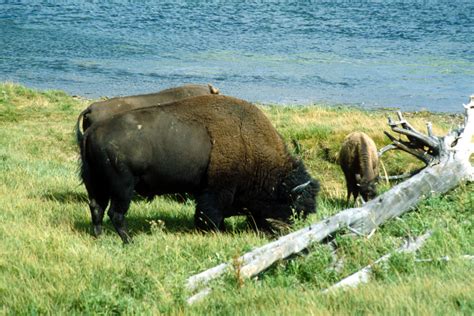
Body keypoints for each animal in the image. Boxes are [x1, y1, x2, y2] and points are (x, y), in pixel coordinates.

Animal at [79, 94, 320, 242]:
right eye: (294, 208)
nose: (285, 233)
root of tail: (91, 132)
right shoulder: (216, 191)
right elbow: (209, 214)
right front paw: (214, 231)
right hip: (123, 188)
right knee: (116, 213)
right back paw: (130, 241)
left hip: (96, 184)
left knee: (97, 208)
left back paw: (99, 236)